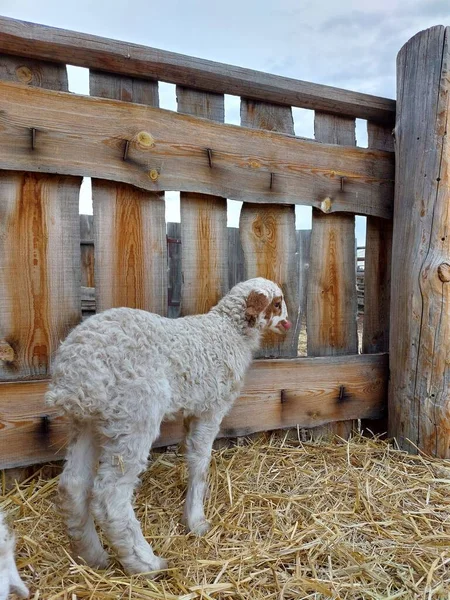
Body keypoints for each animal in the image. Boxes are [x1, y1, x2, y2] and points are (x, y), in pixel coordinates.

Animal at [45, 278, 290, 576]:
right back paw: (144, 563)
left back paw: (92, 556)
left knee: (73, 485)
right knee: (110, 495)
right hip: (135, 413)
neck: (228, 331)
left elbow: (191, 454)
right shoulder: (212, 408)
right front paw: (196, 521)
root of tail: (73, 374)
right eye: (277, 303)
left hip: (88, 421)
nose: (288, 323)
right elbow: (200, 461)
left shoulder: (193, 409)